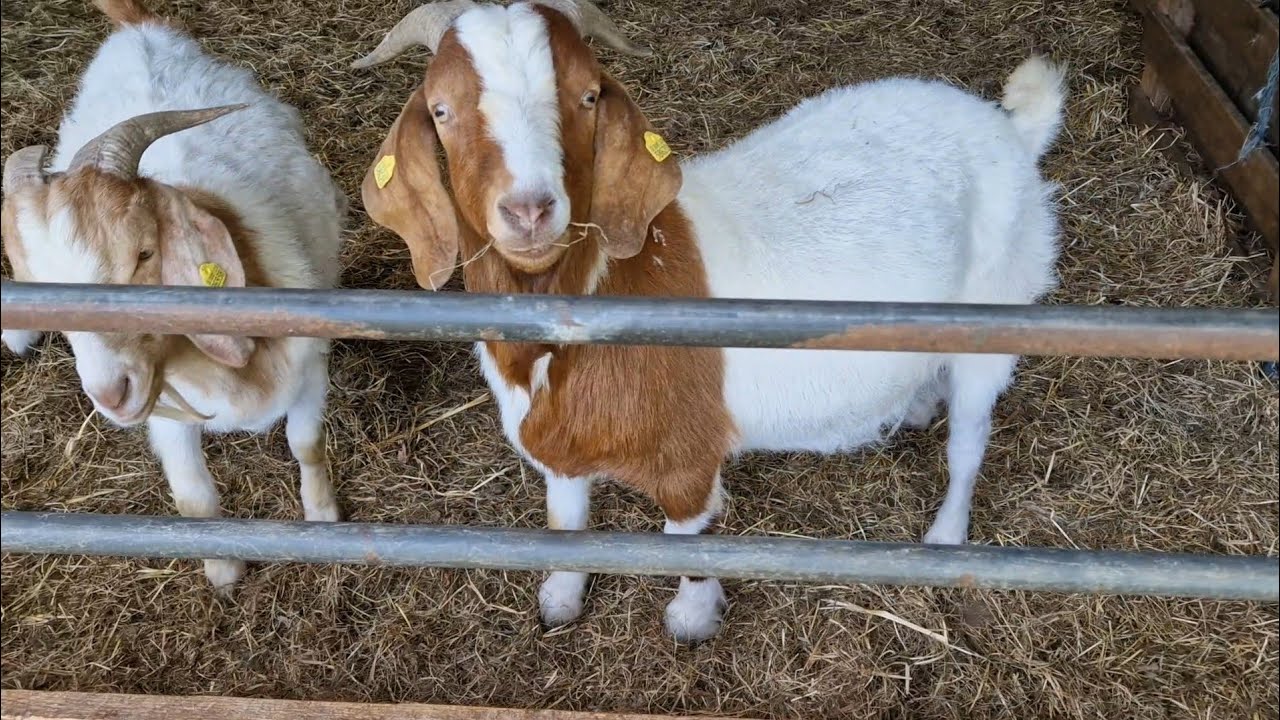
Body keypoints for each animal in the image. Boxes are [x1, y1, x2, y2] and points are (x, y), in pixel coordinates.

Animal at [1, 0, 347, 591]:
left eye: (144, 253)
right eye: (43, 288)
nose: (111, 394)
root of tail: (138, 27)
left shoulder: (311, 367)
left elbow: (307, 445)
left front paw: (324, 520)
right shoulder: (166, 414)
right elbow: (194, 500)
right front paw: (223, 570)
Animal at [354, 0, 1064, 641]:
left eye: (589, 95)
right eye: (441, 110)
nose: (528, 210)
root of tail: (1007, 128)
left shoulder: (687, 457)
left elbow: (686, 536)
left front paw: (691, 618)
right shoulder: (558, 444)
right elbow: (566, 522)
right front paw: (560, 596)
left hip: (999, 307)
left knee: (969, 439)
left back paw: (945, 537)